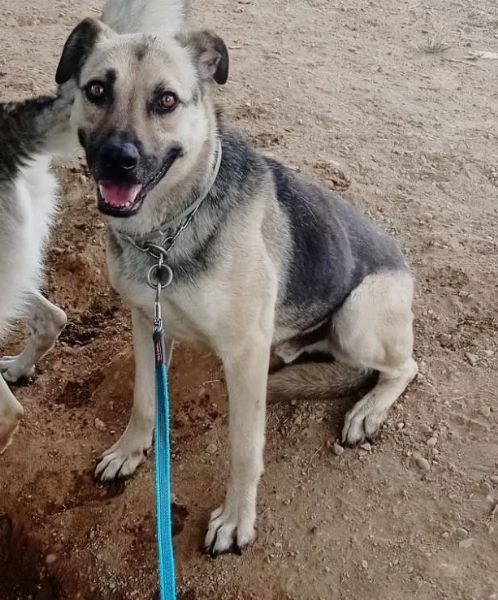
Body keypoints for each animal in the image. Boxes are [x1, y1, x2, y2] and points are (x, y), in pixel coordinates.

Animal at [56, 9, 418, 556]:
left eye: (166, 100)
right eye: (97, 89)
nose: (117, 160)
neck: (166, 233)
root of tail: (402, 262)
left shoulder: (245, 355)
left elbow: (244, 450)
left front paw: (235, 521)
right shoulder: (145, 322)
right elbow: (143, 400)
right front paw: (130, 450)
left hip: (358, 315)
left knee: (407, 367)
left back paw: (367, 411)